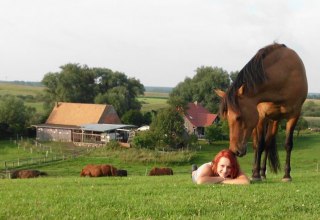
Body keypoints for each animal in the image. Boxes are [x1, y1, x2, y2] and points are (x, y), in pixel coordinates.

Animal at [216, 43, 308, 182]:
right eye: (227, 118)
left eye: (239, 117)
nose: (234, 151)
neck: (283, 76)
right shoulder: (261, 117)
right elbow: (259, 145)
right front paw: (255, 175)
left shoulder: (294, 115)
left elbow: (288, 144)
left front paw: (287, 175)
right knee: (258, 145)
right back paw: (257, 171)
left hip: (275, 120)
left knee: (268, 144)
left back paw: (263, 173)